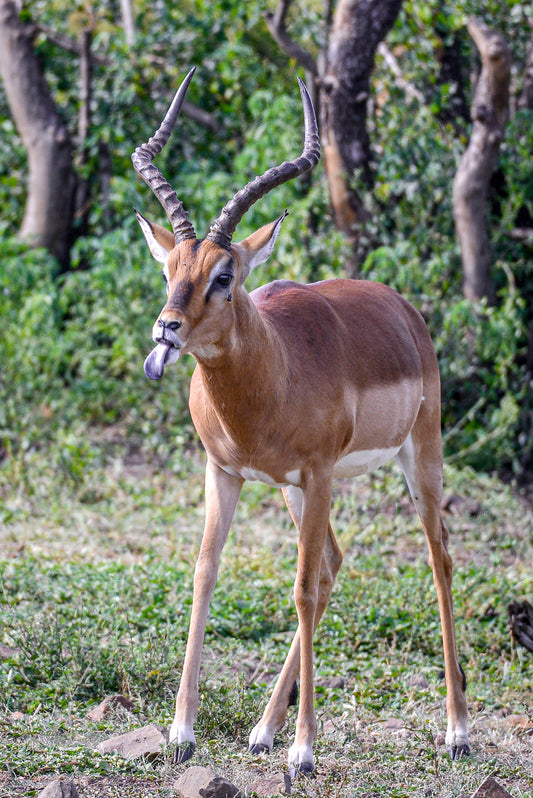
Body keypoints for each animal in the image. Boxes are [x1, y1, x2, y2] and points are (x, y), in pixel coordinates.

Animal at [131, 68, 470, 774]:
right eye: (172, 268)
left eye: (225, 275)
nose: (166, 329)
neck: (272, 377)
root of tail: (401, 307)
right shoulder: (226, 471)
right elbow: (205, 573)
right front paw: (181, 732)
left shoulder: (316, 474)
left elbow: (302, 592)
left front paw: (306, 749)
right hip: (296, 492)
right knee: (334, 562)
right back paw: (263, 729)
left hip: (415, 458)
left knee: (438, 560)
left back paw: (457, 731)